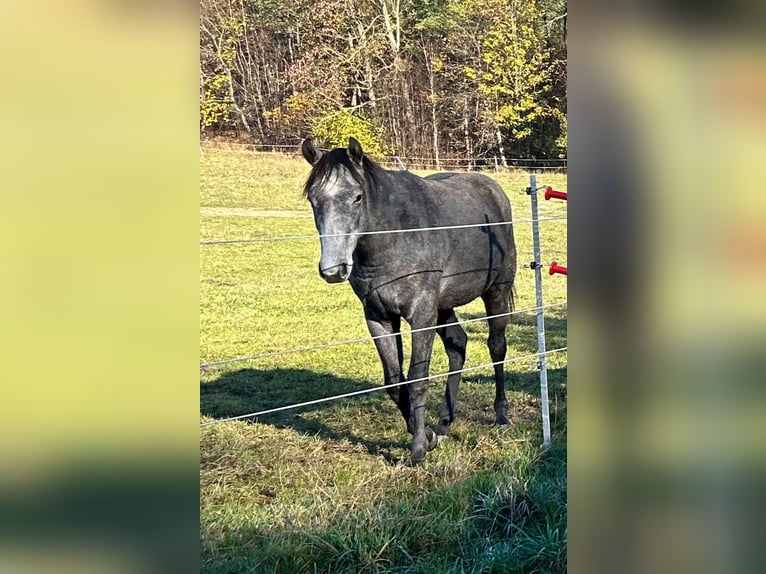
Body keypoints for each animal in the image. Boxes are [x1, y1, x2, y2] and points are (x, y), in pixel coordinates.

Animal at [301, 137, 517, 464]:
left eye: (357, 197)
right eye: (314, 200)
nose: (333, 270)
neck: (395, 236)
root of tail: (494, 191)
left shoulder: (421, 316)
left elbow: (417, 379)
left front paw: (417, 451)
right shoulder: (379, 318)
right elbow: (394, 381)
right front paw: (426, 435)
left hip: (496, 293)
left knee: (497, 347)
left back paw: (501, 415)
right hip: (444, 307)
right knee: (458, 346)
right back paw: (444, 423)